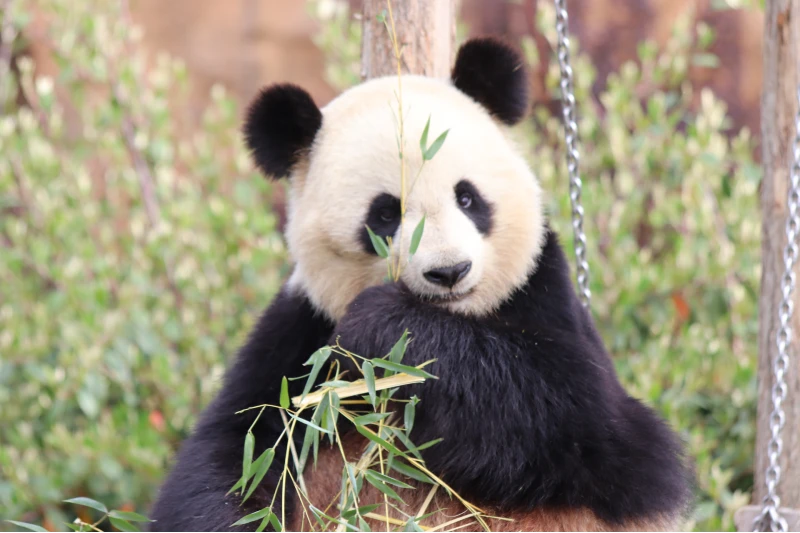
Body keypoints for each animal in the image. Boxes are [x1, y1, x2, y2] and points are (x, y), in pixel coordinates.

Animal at [152, 38, 692, 532]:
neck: (456, 319)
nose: (449, 272)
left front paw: (382, 323)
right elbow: (230, 458)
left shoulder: (542, 293)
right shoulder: (300, 339)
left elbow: (583, 422)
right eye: (386, 214)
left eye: (468, 198)